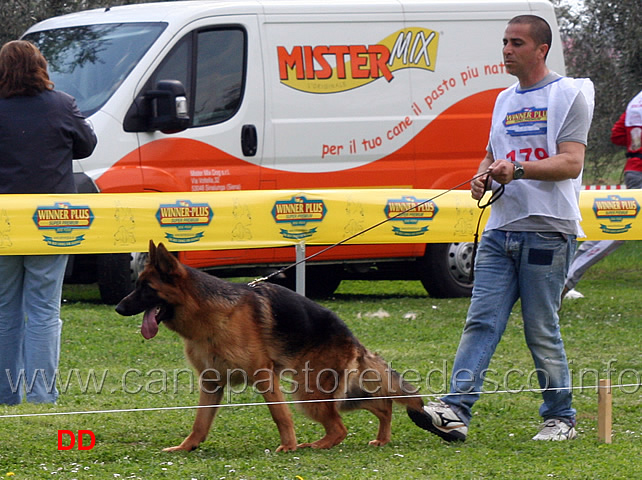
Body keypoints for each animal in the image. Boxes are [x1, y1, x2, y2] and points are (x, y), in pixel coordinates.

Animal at [116, 242, 424, 452]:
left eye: (146, 288)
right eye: (137, 285)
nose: (118, 308)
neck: (209, 313)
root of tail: (352, 339)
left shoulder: (264, 375)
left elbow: (280, 415)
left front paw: (288, 446)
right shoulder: (211, 383)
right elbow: (200, 422)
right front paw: (187, 447)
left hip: (308, 392)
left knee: (340, 428)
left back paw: (314, 445)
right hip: (337, 393)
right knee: (382, 405)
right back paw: (381, 438)